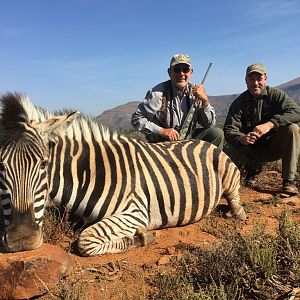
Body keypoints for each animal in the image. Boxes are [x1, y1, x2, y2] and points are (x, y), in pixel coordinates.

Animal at [0, 92, 245, 256]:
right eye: (0, 167)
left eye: (43, 164)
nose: (22, 239)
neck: (91, 173)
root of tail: (201, 141)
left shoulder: (135, 211)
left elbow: (85, 241)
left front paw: (141, 237)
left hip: (229, 175)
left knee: (235, 199)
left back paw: (236, 213)